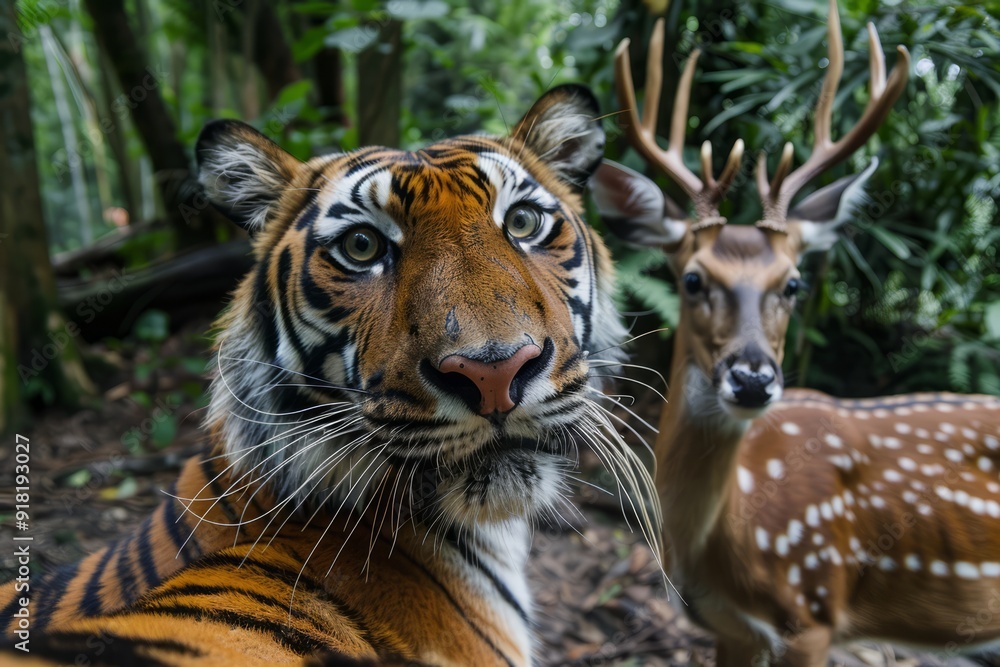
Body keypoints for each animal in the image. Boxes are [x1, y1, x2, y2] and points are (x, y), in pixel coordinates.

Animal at [591, 1, 1000, 664]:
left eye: (793, 284)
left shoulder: (812, 613)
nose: (753, 379)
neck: (726, 543)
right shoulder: (729, 629)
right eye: (692, 279)